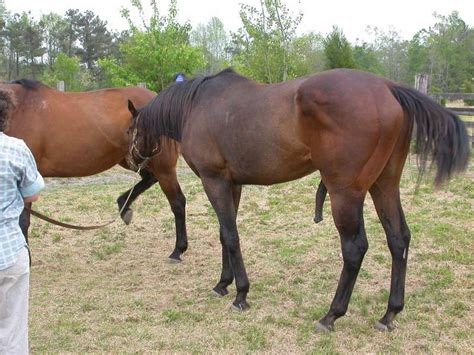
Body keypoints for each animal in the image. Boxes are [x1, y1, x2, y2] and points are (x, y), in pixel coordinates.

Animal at [1, 80, 190, 262]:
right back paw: (124, 206)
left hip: (162, 166)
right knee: (149, 179)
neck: (19, 110)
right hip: (134, 158)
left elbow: (22, 221)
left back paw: (177, 250)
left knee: (177, 202)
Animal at [129, 68, 470, 332]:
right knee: (398, 239)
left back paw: (332, 315)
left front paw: (241, 294)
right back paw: (389, 314)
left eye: (131, 130)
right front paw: (223, 284)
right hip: (384, 186)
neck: (196, 106)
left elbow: (230, 235)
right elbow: (226, 234)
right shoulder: (231, 185)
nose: (136, 162)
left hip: (345, 194)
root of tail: (388, 87)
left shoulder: (214, 182)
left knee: (355, 249)